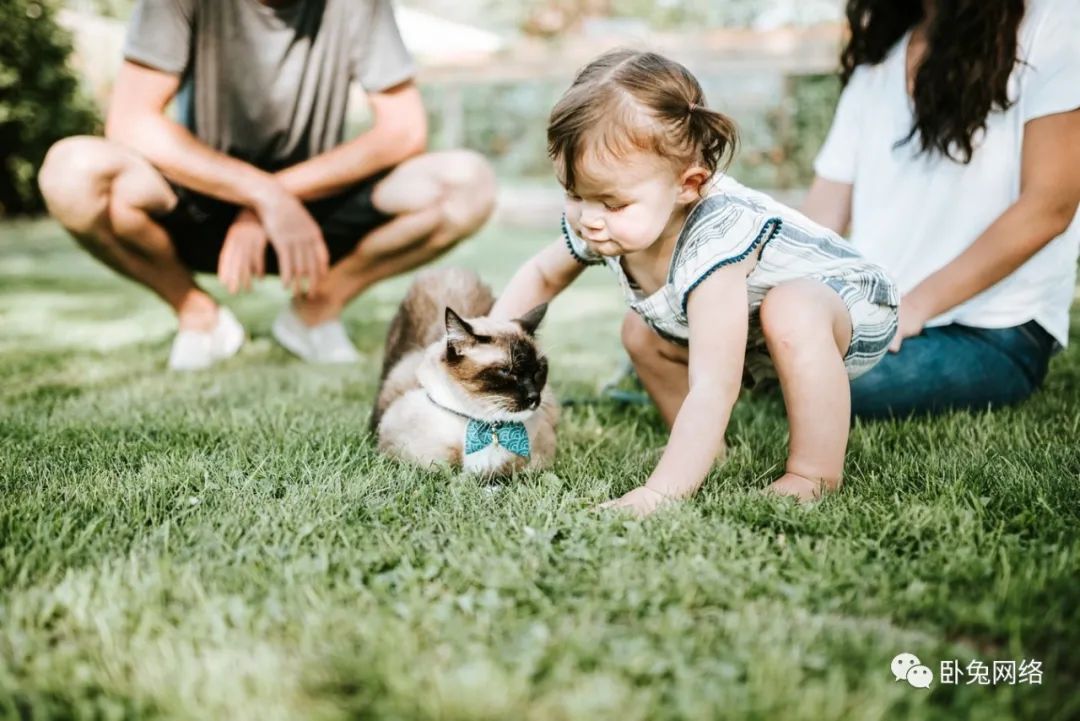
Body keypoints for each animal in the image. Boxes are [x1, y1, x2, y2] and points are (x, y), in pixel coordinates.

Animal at [371, 267, 557, 474]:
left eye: (538, 370)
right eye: (506, 372)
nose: (534, 397)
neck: (489, 427)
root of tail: (448, 269)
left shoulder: (539, 456)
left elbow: (513, 468)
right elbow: (446, 464)